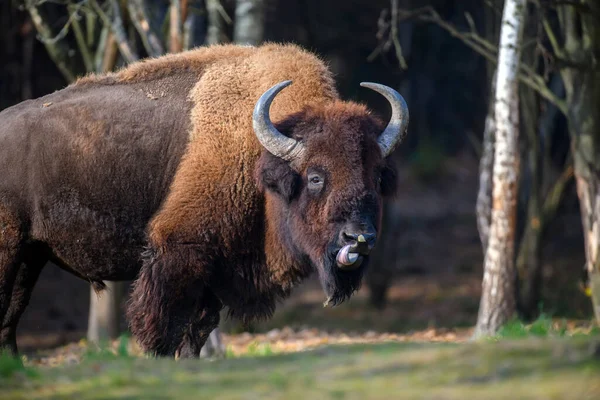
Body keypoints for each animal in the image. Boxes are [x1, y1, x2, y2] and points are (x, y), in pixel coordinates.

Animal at [0, 43, 408, 356]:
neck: (258, 150)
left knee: (9, 320)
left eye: (376, 177)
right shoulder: (178, 253)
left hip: (32, 256)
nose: (359, 238)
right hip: (10, 249)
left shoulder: (216, 271)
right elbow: (165, 328)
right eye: (315, 177)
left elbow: (196, 333)